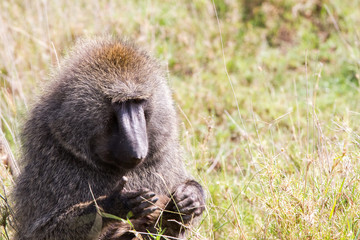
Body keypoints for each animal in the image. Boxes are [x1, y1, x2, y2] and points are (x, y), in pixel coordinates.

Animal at [12, 36, 205, 240]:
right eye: (119, 104)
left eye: (137, 101)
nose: (136, 151)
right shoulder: (51, 155)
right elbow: (44, 231)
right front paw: (117, 204)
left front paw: (189, 197)